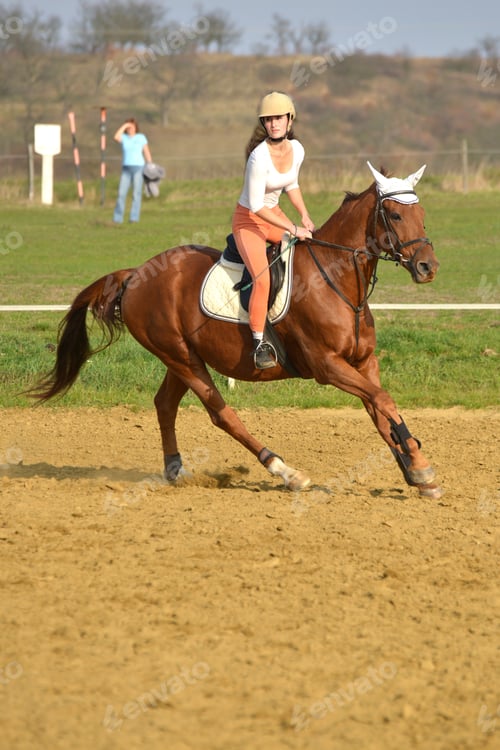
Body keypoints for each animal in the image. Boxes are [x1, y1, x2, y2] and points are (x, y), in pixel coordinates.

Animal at [27, 162, 442, 499]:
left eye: (422, 212)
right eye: (394, 214)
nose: (428, 267)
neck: (336, 279)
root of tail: (136, 274)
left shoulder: (364, 363)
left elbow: (382, 412)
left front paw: (415, 470)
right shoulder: (328, 366)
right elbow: (383, 402)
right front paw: (420, 468)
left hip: (181, 358)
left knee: (165, 404)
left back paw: (175, 469)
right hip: (182, 357)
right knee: (221, 414)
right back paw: (285, 471)